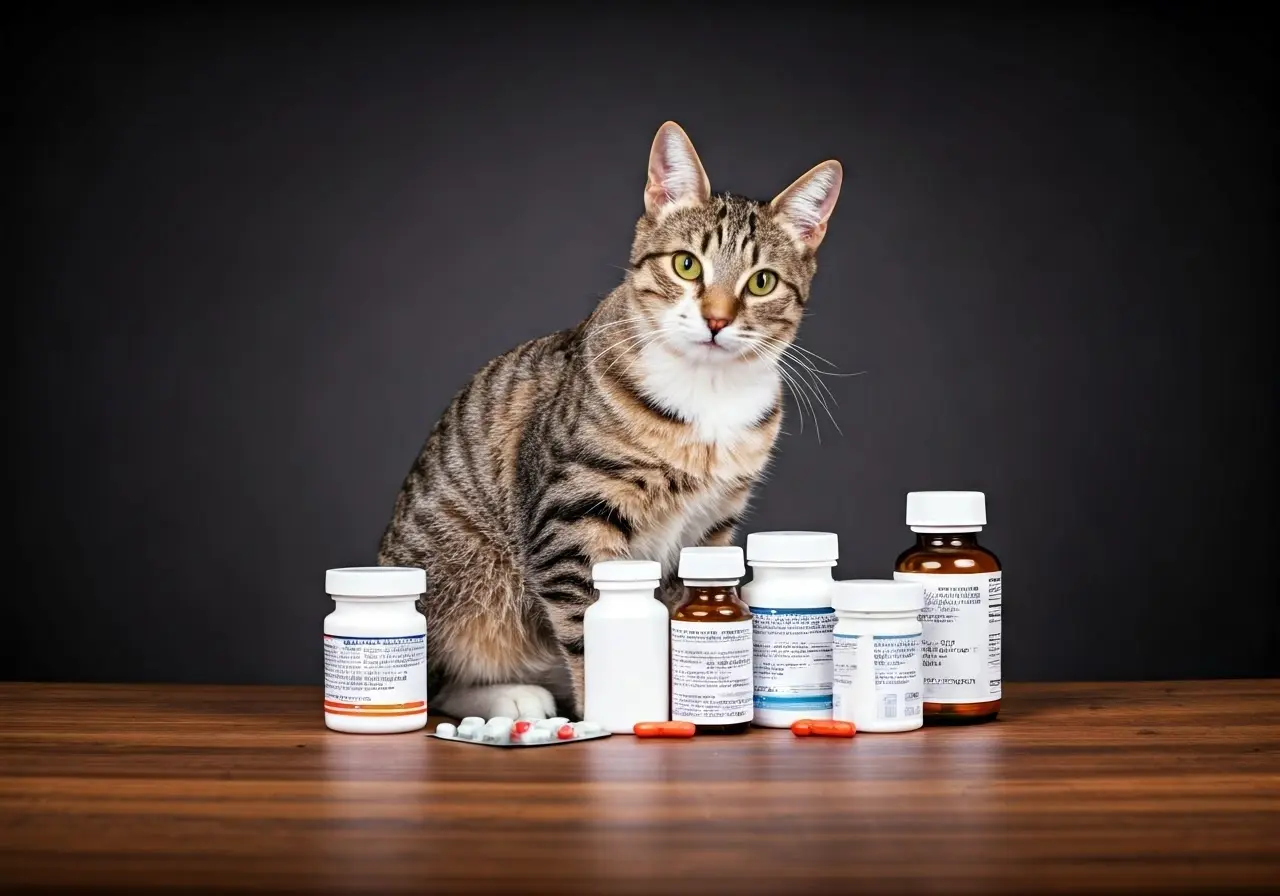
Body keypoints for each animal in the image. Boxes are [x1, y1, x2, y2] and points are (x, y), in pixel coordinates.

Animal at [376, 122, 839, 721]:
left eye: (761, 282)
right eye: (687, 264)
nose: (716, 319)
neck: (707, 393)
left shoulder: (713, 525)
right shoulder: (570, 519)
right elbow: (585, 632)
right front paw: (608, 710)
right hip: (465, 578)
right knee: (437, 678)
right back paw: (512, 698)